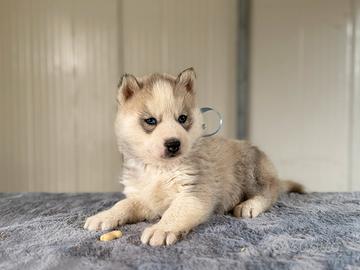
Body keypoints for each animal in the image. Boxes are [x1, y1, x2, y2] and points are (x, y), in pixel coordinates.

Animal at [83, 68, 302, 247]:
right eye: (151, 121)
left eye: (182, 118)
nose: (173, 144)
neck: (160, 169)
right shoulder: (145, 198)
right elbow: (124, 204)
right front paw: (104, 216)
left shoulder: (193, 194)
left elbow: (175, 212)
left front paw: (161, 229)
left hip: (250, 170)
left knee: (270, 192)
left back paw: (249, 205)